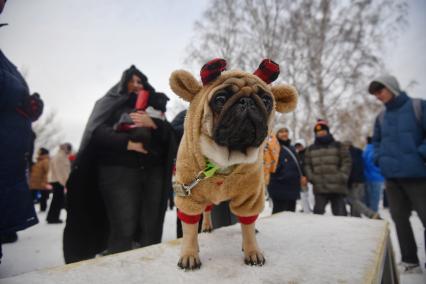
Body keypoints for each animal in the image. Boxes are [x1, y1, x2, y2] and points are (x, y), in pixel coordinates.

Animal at [169, 58, 296, 270]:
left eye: (266, 100)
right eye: (220, 99)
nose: (247, 101)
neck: (225, 159)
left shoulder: (250, 195)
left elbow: (247, 225)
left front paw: (252, 250)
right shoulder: (189, 195)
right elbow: (189, 230)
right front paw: (189, 254)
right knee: (207, 211)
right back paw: (206, 227)